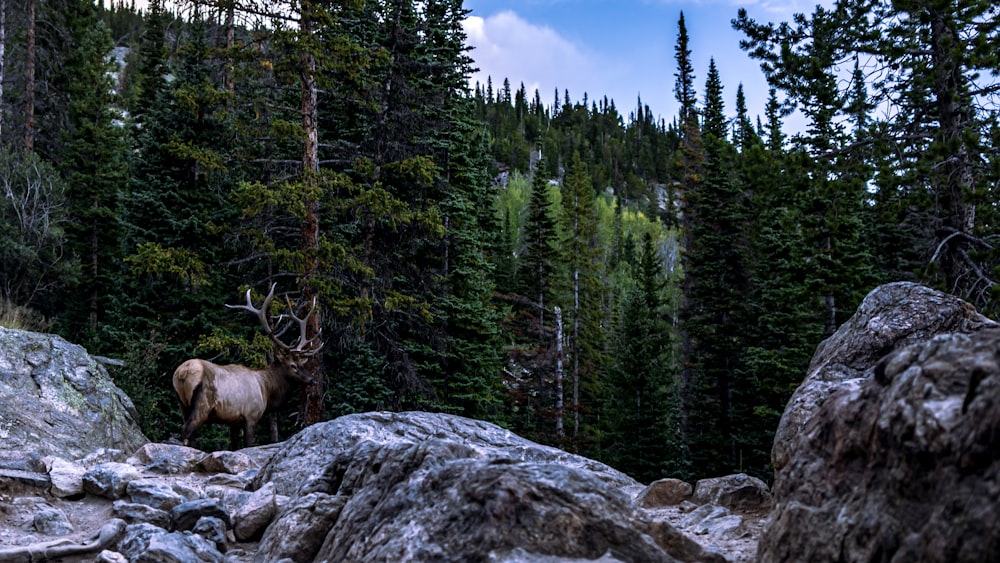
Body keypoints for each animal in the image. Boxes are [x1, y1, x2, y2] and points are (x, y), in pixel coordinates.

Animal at [171, 284, 320, 452]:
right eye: (293, 366)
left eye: (302, 364)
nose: (313, 380)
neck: (266, 390)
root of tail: (182, 373)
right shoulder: (251, 416)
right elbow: (248, 445)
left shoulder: (233, 421)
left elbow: (234, 446)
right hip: (202, 404)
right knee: (186, 429)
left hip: (182, 404)